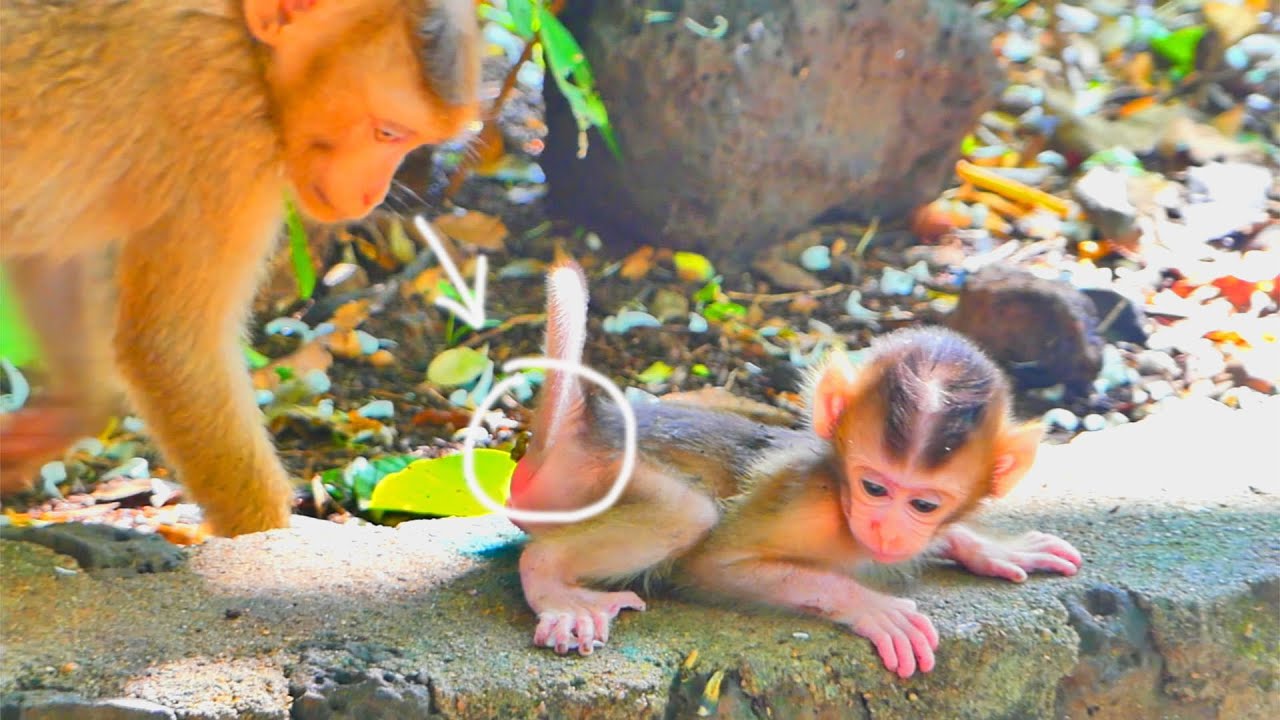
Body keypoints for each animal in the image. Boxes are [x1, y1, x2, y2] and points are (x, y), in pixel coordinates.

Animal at [0, 0, 480, 536]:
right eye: (388, 133)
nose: (372, 194)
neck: (248, 50)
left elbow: (50, 246)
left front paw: (66, 415)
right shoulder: (228, 135)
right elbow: (172, 347)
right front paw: (263, 541)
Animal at [508, 260, 1083, 677]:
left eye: (923, 503)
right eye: (874, 488)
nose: (884, 527)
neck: (840, 494)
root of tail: (583, 429)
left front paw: (993, 548)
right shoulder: (805, 505)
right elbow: (715, 565)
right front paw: (871, 607)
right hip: (587, 479)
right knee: (684, 514)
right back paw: (553, 582)